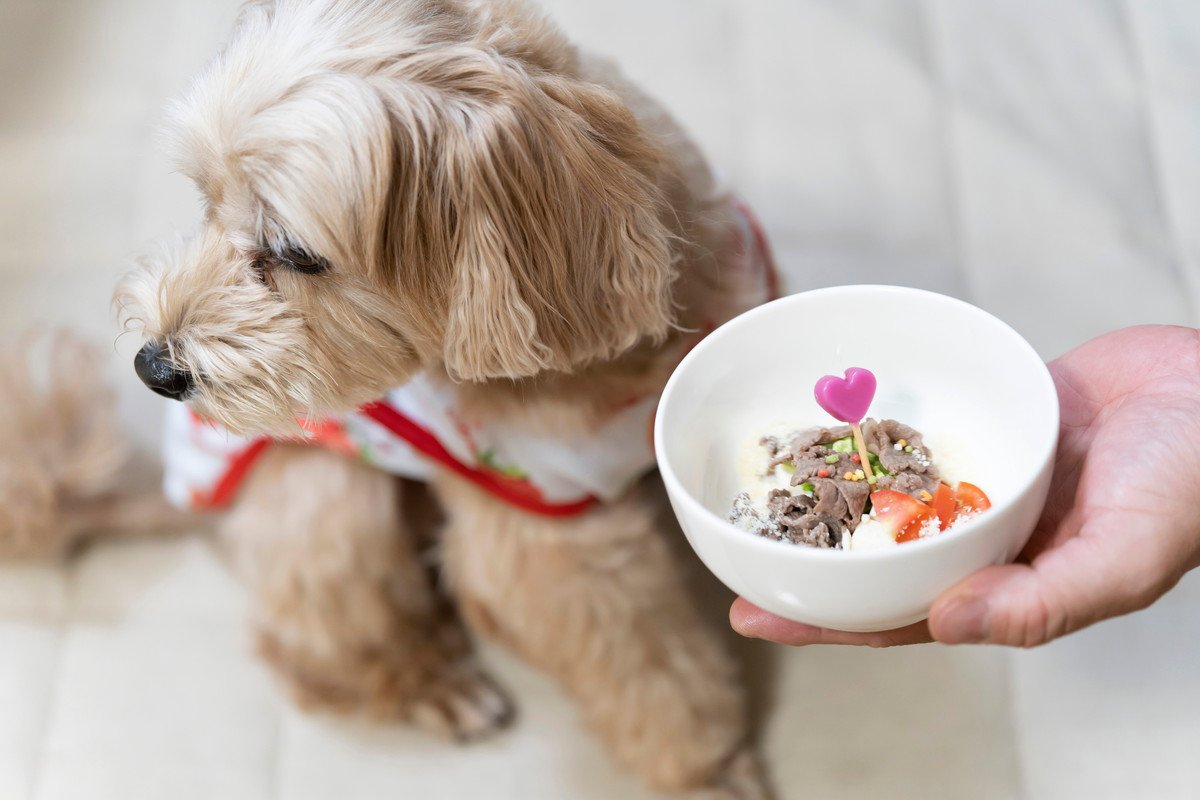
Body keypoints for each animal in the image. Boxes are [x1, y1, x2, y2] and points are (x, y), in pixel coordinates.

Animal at [14, 0, 777, 796]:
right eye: (205, 204)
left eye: (294, 254)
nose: (153, 370)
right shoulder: (550, 540)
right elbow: (652, 673)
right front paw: (708, 770)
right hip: (324, 502)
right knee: (309, 644)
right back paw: (435, 683)